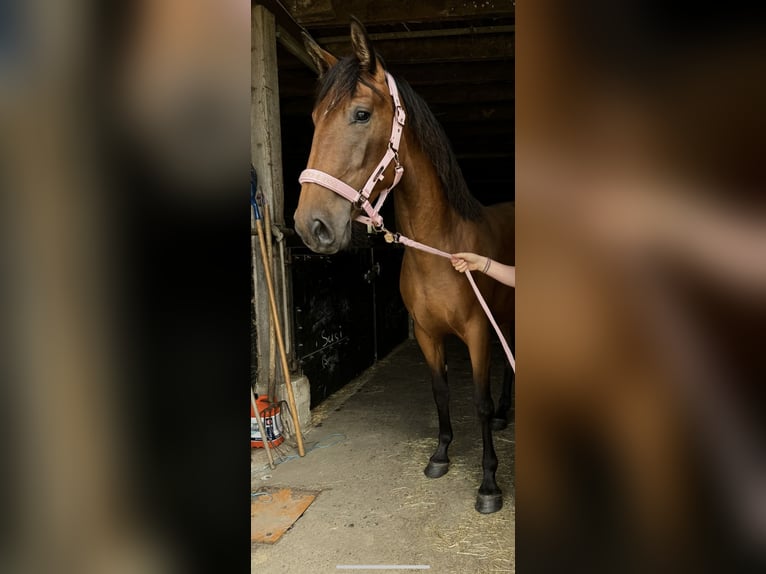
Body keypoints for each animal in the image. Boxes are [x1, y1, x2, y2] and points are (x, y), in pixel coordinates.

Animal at [294, 18, 516, 516]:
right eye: (313, 120)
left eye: (361, 114)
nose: (311, 226)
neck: (439, 250)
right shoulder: (428, 334)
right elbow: (440, 392)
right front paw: (441, 455)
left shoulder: (477, 333)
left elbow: (477, 400)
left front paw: (488, 484)